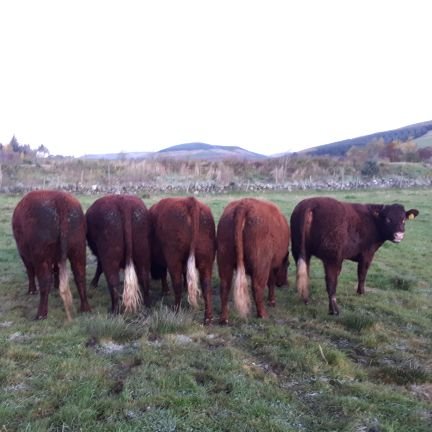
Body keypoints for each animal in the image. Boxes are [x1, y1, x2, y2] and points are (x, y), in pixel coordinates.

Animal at [12, 190, 91, 320]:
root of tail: (60, 200)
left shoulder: (24, 254)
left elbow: (30, 272)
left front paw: (32, 290)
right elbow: (56, 269)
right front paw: (56, 285)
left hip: (41, 256)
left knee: (44, 282)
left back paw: (41, 314)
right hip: (79, 248)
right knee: (80, 276)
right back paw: (85, 309)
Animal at [149, 196, 216, 324]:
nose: (153, 276)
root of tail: (190, 201)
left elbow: (164, 273)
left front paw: (165, 290)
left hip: (173, 259)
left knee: (177, 284)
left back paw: (176, 309)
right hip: (206, 261)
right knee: (206, 286)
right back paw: (208, 318)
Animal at [290, 196, 418, 314]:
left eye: (403, 219)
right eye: (388, 219)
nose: (399, 235)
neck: (373, 221)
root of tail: (311, 202)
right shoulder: (367, 254)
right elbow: (362, 274)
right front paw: (361, 292)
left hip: (299, 250)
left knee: (304, 273)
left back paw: (306, 299)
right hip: (331, 257)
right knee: (331, 281)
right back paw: (334, 310)